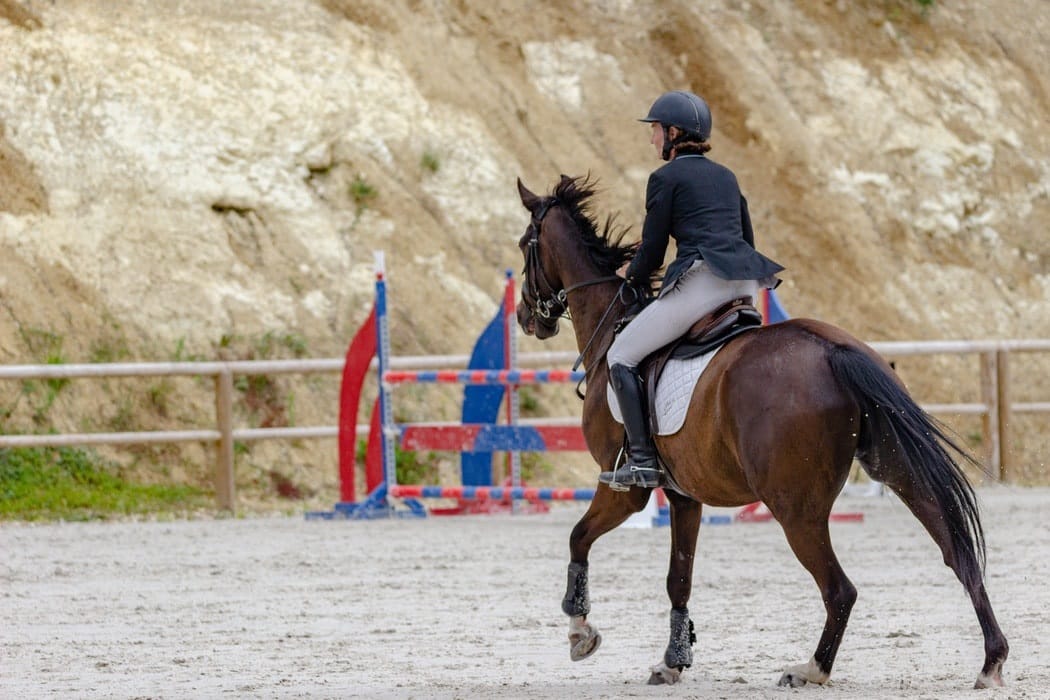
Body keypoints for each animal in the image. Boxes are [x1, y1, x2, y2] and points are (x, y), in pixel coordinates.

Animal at [516, 175, 1007, 688]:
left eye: (525, 244)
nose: (525, 318)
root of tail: (832, 349)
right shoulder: (685, 496)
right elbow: (679, 579)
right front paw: (673, 661)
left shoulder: (625, 489)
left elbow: (578, 537)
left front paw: (580, 632)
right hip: (895, 467)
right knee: (957, 553)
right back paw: (991, 662)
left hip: (793, 507)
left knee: (840, 588)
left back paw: (811, 669)